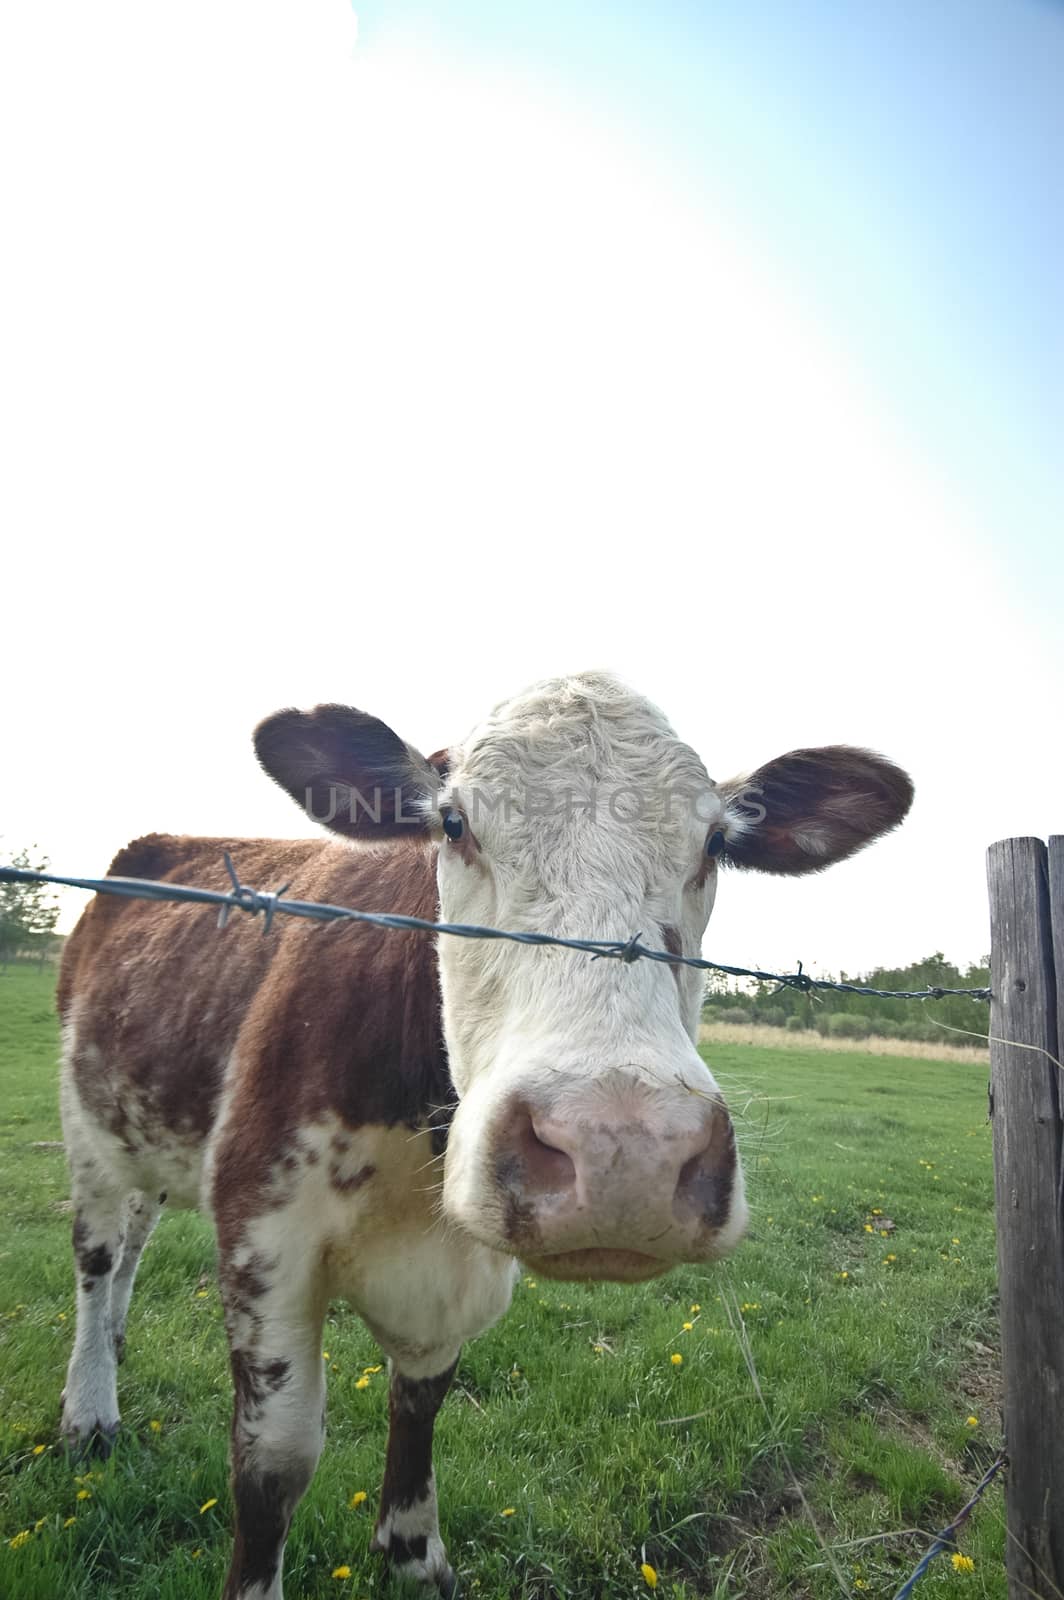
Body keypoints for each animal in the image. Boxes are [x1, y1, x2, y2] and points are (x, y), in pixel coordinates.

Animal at [54, 675, 908, 1600]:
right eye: (454, 823)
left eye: (716, 840)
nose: (623, 1155)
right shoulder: (261, 1230)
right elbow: (272, 1464)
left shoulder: (456, 1277)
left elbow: (421, 1403)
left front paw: (413, 1550)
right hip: (86, 1130)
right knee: (99, 1258)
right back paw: (89, 1404)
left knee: (137, 1237)